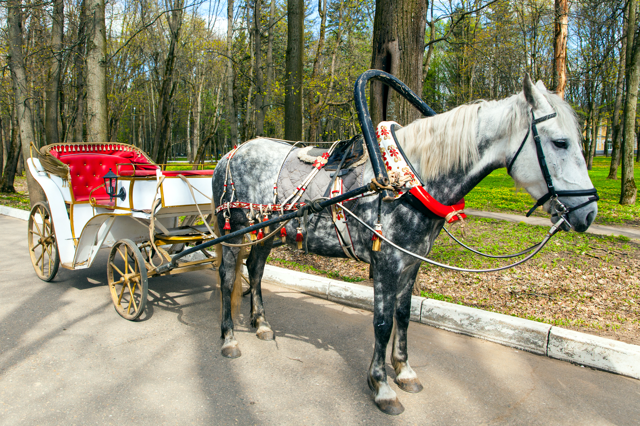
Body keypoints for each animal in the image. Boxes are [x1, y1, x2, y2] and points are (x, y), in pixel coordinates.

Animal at [212, 75, 596, 414]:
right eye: (560, 142)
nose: (589, 212)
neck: (406, 180)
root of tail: (230, 153)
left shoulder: (412, 263)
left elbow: (404, 315)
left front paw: (405, 371)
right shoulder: (386, 264)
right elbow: (382, 323)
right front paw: (382, 386)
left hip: (267, 232)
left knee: (255, 270)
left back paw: (261, 324)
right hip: (234, 229)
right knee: (228, 277)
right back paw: (229, 338)